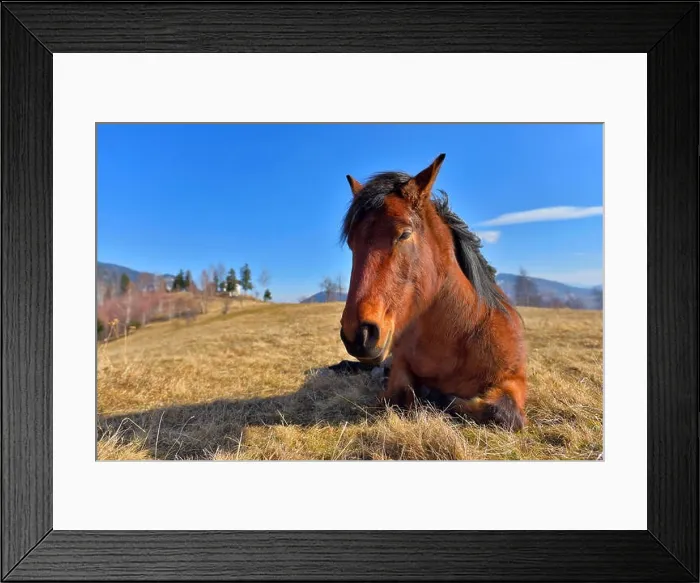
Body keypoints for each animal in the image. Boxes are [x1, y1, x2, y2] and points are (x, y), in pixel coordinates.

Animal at [339, 154, 528, 431]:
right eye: (352, 244)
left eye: (404, 234)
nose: (358, 334)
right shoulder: (400, 364)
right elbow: (400, 394)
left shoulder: (515, 380)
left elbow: (501, 412)